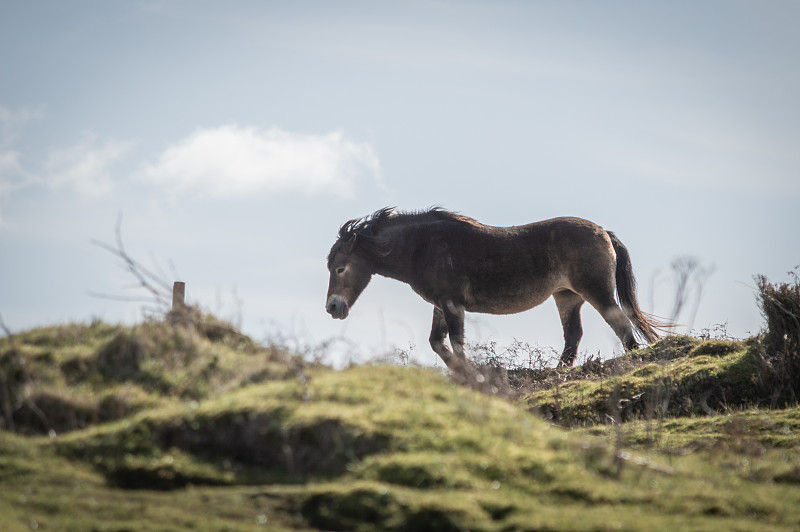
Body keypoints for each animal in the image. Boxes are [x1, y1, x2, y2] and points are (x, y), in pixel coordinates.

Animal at [324, 206, 656, 372]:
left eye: (340, 268)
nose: (333, 307)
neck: (423, 246)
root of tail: (604, 232)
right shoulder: (441, 305)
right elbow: (437, 343)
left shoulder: (452, 304)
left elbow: (456, 343)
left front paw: (472, 374)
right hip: (566, 296)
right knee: (573, 335)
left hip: (596, 290)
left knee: (620, 324)